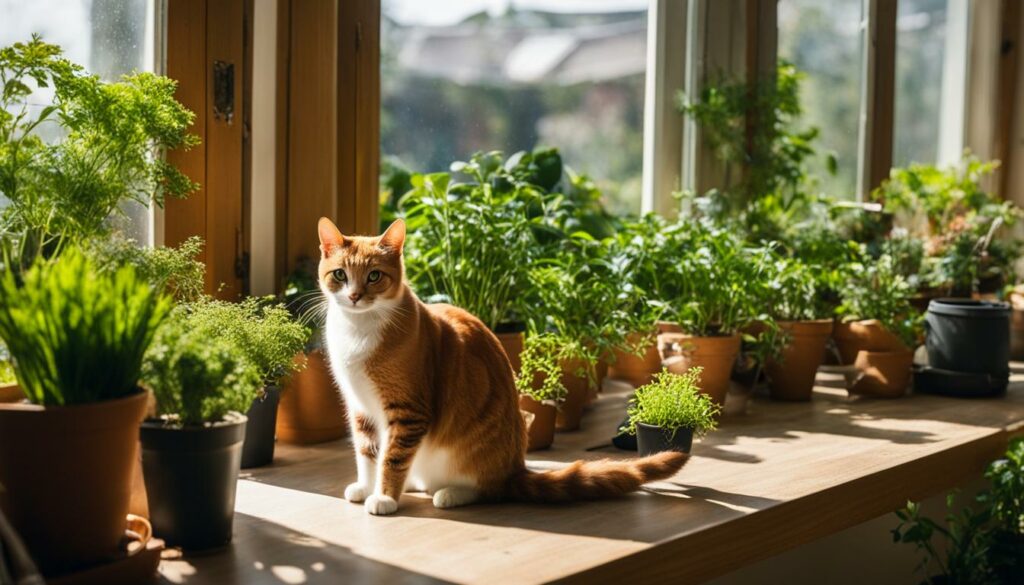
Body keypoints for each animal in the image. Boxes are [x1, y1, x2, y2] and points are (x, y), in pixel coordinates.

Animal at [317, 217, 688, 514]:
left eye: (374, 276)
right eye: (340, 275)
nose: (354, 296)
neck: (358, 330)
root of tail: (515, 469)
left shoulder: (409, 411)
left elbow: (392, 458)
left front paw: (384, 497)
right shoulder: (361, 407)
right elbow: (368, 453)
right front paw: (367, 487)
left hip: (470, 458)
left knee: (488, 489)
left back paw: (451, 493)